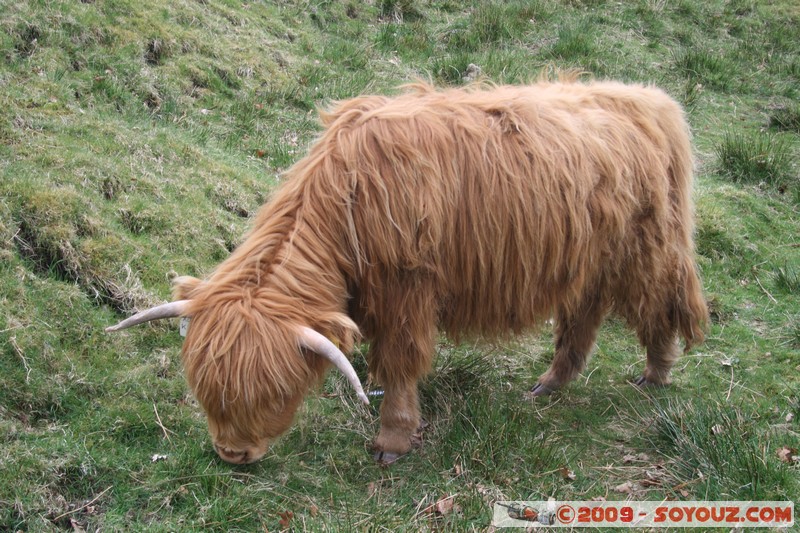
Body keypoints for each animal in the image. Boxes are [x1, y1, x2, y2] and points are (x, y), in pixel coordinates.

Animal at [107, 78, 708, 465]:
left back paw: (656, 373)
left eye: (275, 393)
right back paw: (550, 384)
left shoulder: (406, 290)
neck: (346, 199)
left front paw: (392, 442)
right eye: (204, 388)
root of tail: (650, 99)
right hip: (587, 257)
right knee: (584, 314)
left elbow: (399, 364)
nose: (233, 455)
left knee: (664, 301)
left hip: (649, 246)